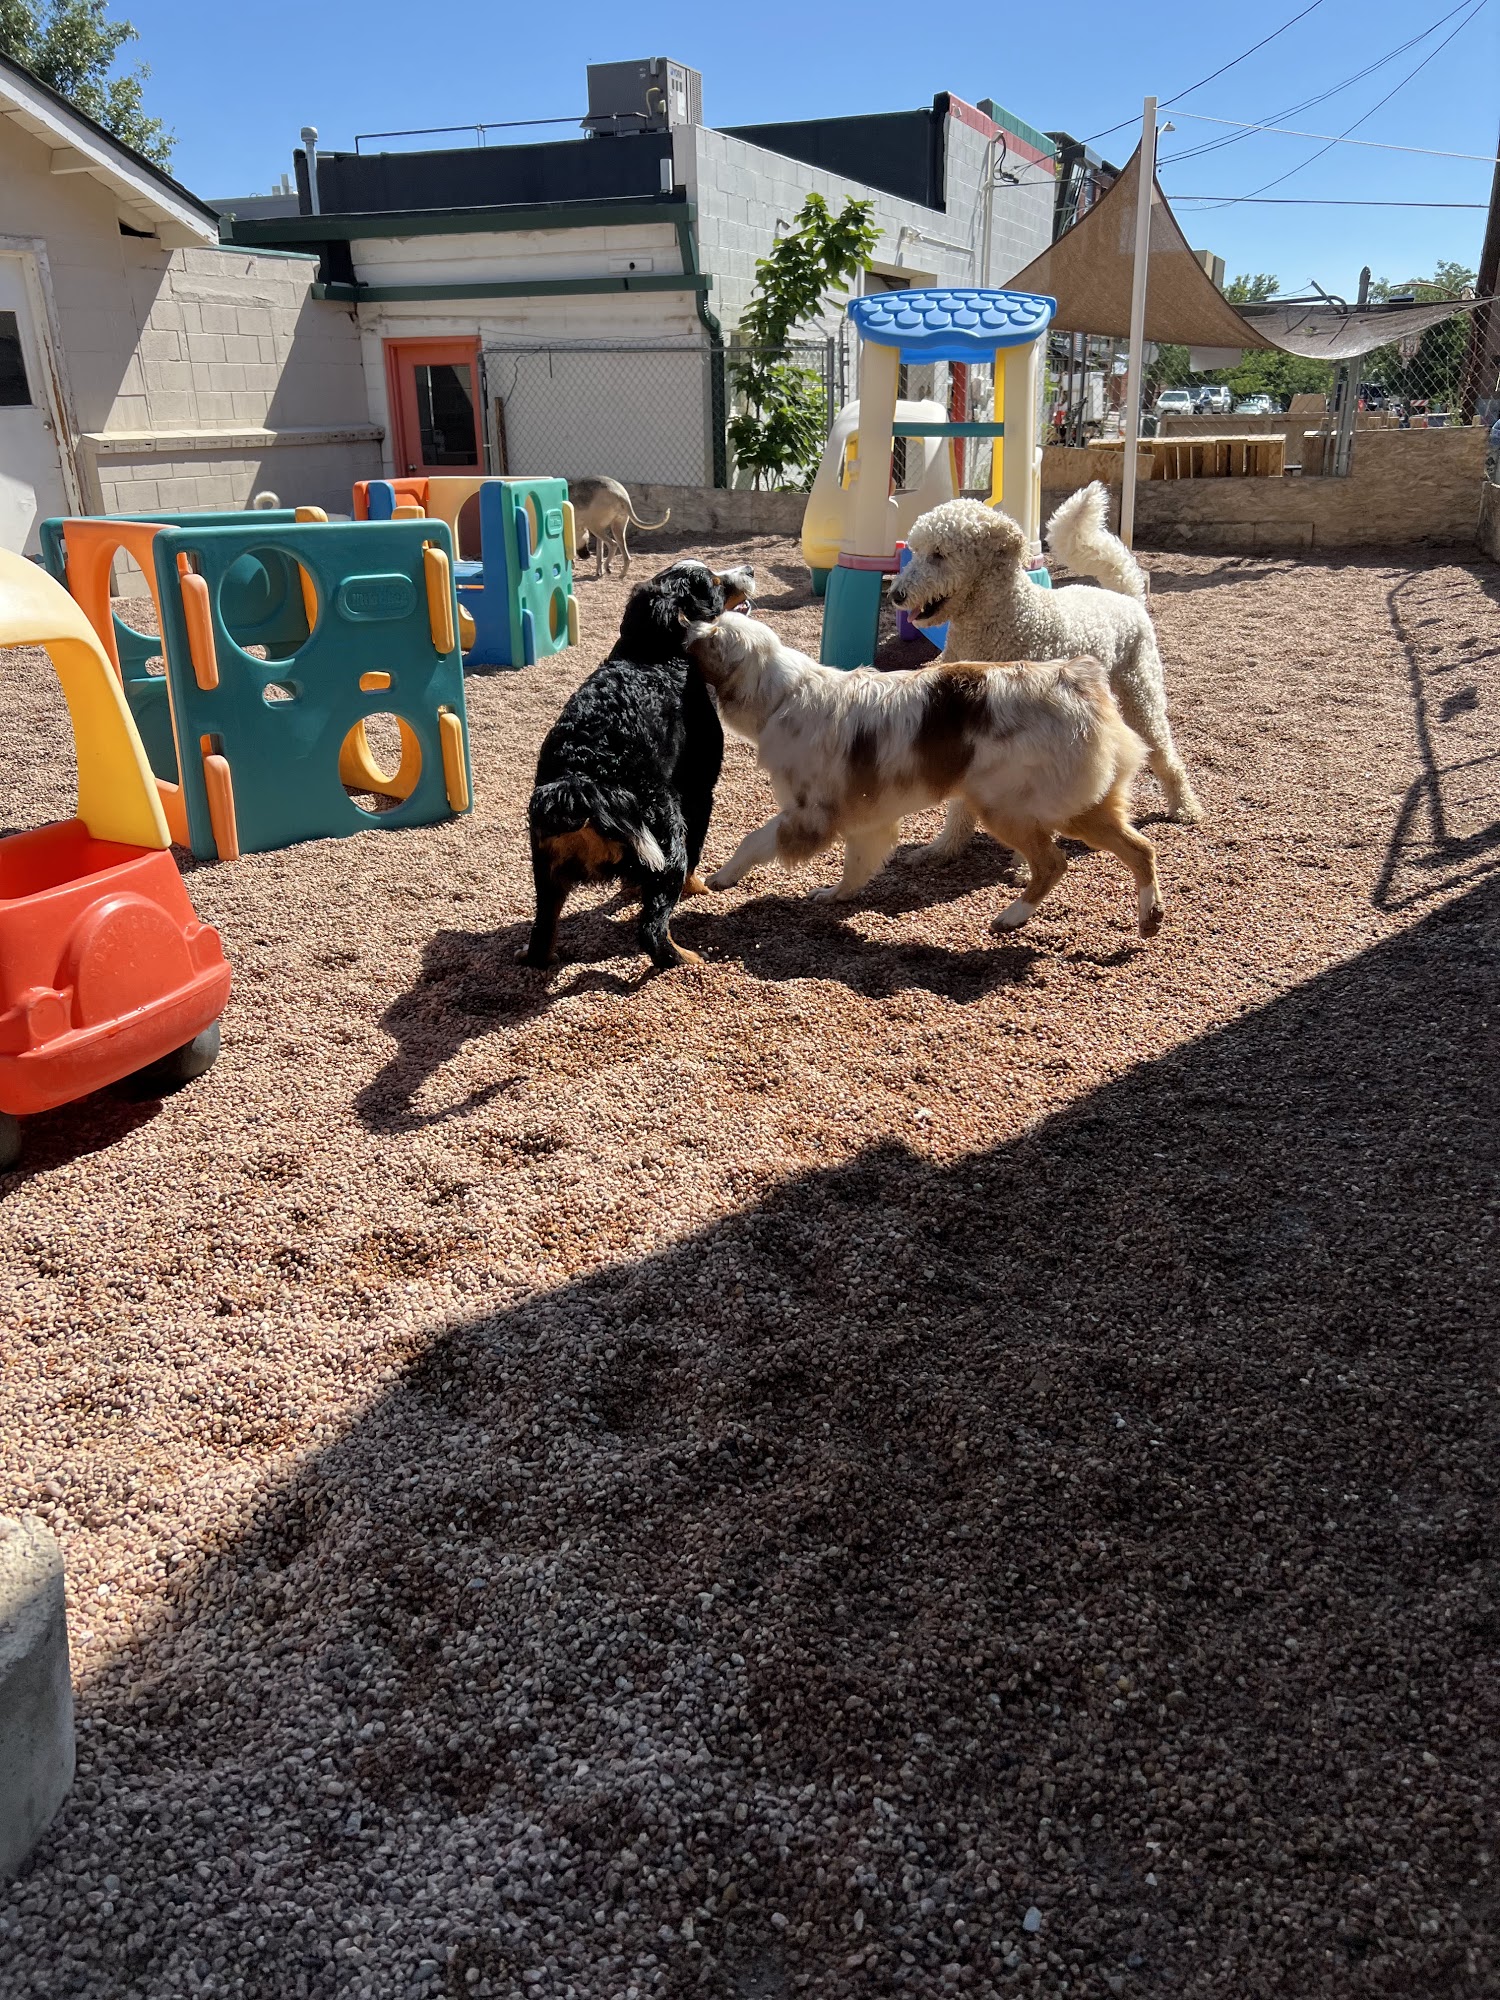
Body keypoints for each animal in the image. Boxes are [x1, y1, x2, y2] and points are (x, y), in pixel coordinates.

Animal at [522, 561, 755, 971]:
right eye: (714, 583)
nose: (750, 569)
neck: (651, 653)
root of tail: (580, 782)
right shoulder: (699, 790)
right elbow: (695, 857)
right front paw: (699, 888)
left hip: (546, 874)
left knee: (542, 933)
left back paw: (541, 957)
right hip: (667, 833)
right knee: (653, 930)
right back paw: (686, 958)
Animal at [685, 613, 1164, 940]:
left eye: (711, 639)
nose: (686, 623)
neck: (783, 696)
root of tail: (1077, 679)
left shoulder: (808, 814)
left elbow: (753, 841)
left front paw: (722, 877)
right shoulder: (868, 821)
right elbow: (856, 867)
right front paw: (836, 896)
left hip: (1009, 807)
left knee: (1054, 862)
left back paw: (1012, 916)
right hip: (1081, 806)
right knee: (1141, 849)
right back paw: (1149, 917)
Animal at [889, 484, 1201, 863]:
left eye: (939, 554)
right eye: (916, 551)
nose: (896, 595)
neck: (1008, 620)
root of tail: (1126, 597)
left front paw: (1025, 865)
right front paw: (944, 847)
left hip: (1141, 693)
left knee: (1164, 753)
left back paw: (1184, 807)